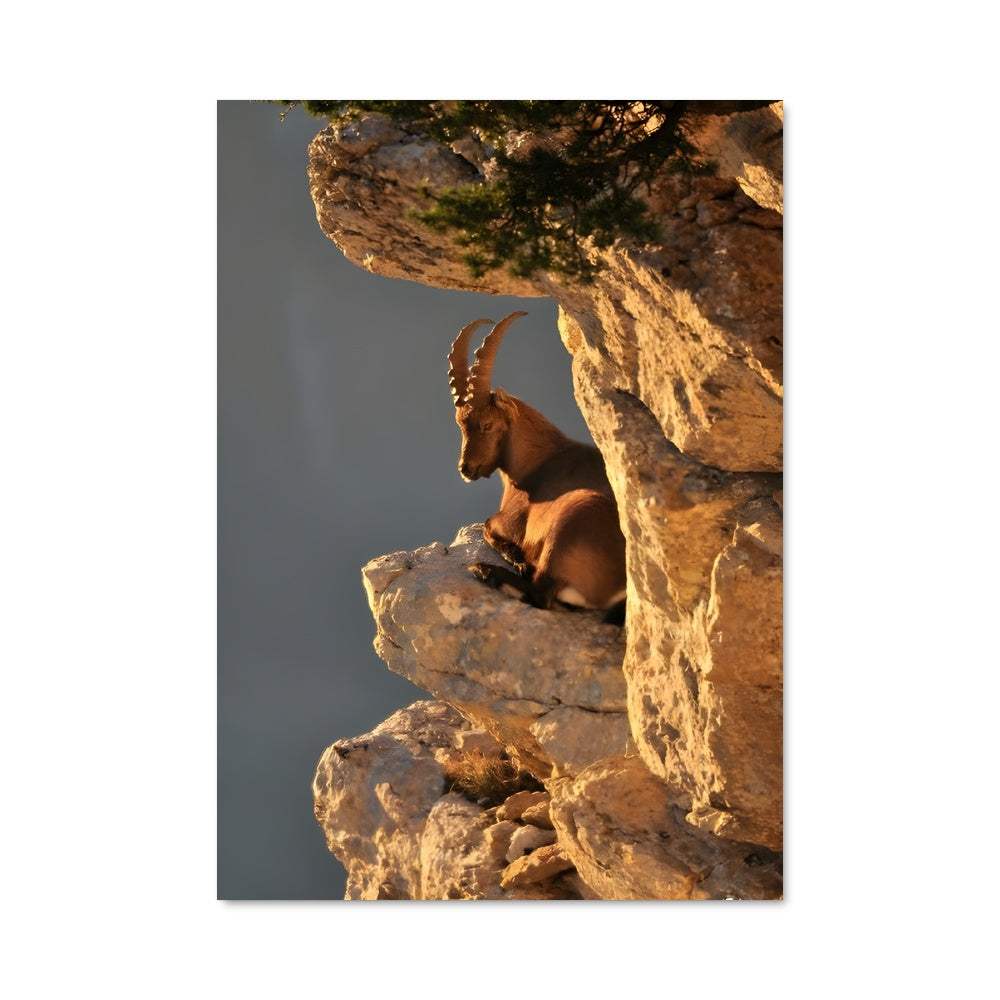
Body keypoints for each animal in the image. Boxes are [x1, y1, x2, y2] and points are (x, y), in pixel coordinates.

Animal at [448, 311, 627, 617]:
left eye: (487, 424)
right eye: (461, 424)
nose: (466, 469)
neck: (538, 461)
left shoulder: (506, 521)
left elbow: (488, 527)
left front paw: (517, 558)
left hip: (569, 523)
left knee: (540, 593)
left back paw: (484, 569)